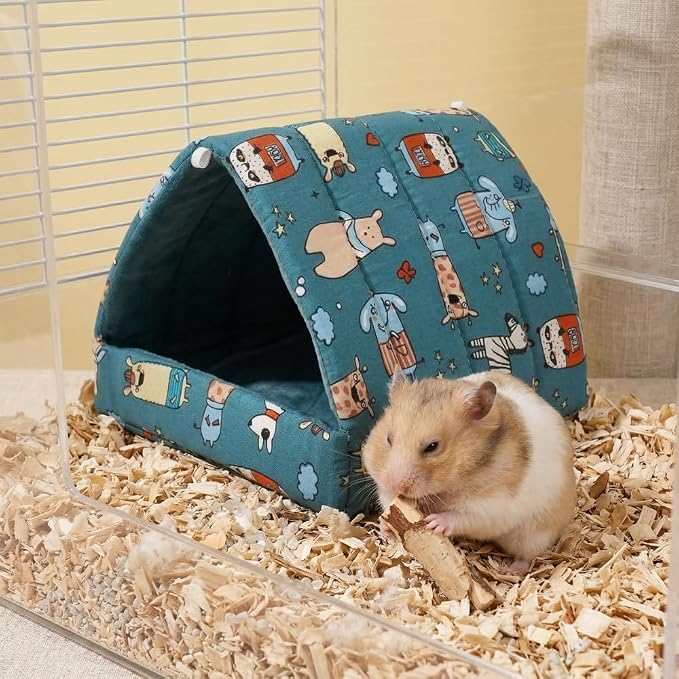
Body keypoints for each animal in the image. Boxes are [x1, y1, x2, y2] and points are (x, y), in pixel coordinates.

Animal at [362, 369, 576, 575]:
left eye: (432, 446)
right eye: (389, 439)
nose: (396, 486)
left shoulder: (494, 506)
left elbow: (462, 517)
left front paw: (434, 523)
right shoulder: (383, 487)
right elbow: (387, 502)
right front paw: (385, 528)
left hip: (534, 535)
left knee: (527, 555)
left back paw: (511, 571)